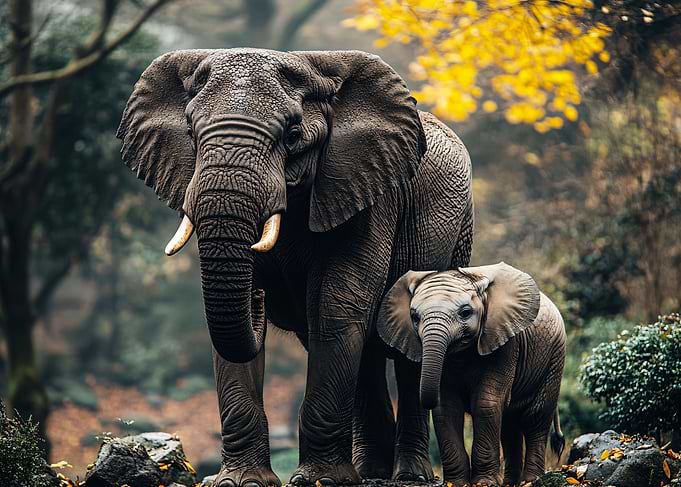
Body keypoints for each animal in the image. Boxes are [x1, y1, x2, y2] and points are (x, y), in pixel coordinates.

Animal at [117, 48, 474, 487]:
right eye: (190, 130)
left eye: (292, 134)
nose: (258, 297)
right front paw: (240, 481)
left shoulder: (366, 195)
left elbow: (336, 310)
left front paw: (320, 480)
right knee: (365, 354)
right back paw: (369, 472)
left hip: (458, 237)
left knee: (406, 354)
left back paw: (408, 476)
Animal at [377, 263, 566, 486]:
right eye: (414, 317)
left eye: (465, 313)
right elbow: (447, 408)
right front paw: (457, 483)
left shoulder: (505, 343)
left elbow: (486, 404)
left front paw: (484, 483)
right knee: (509, 424)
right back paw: (511, 482)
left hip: (555, 357)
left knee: (534, 417)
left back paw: (531, 480)